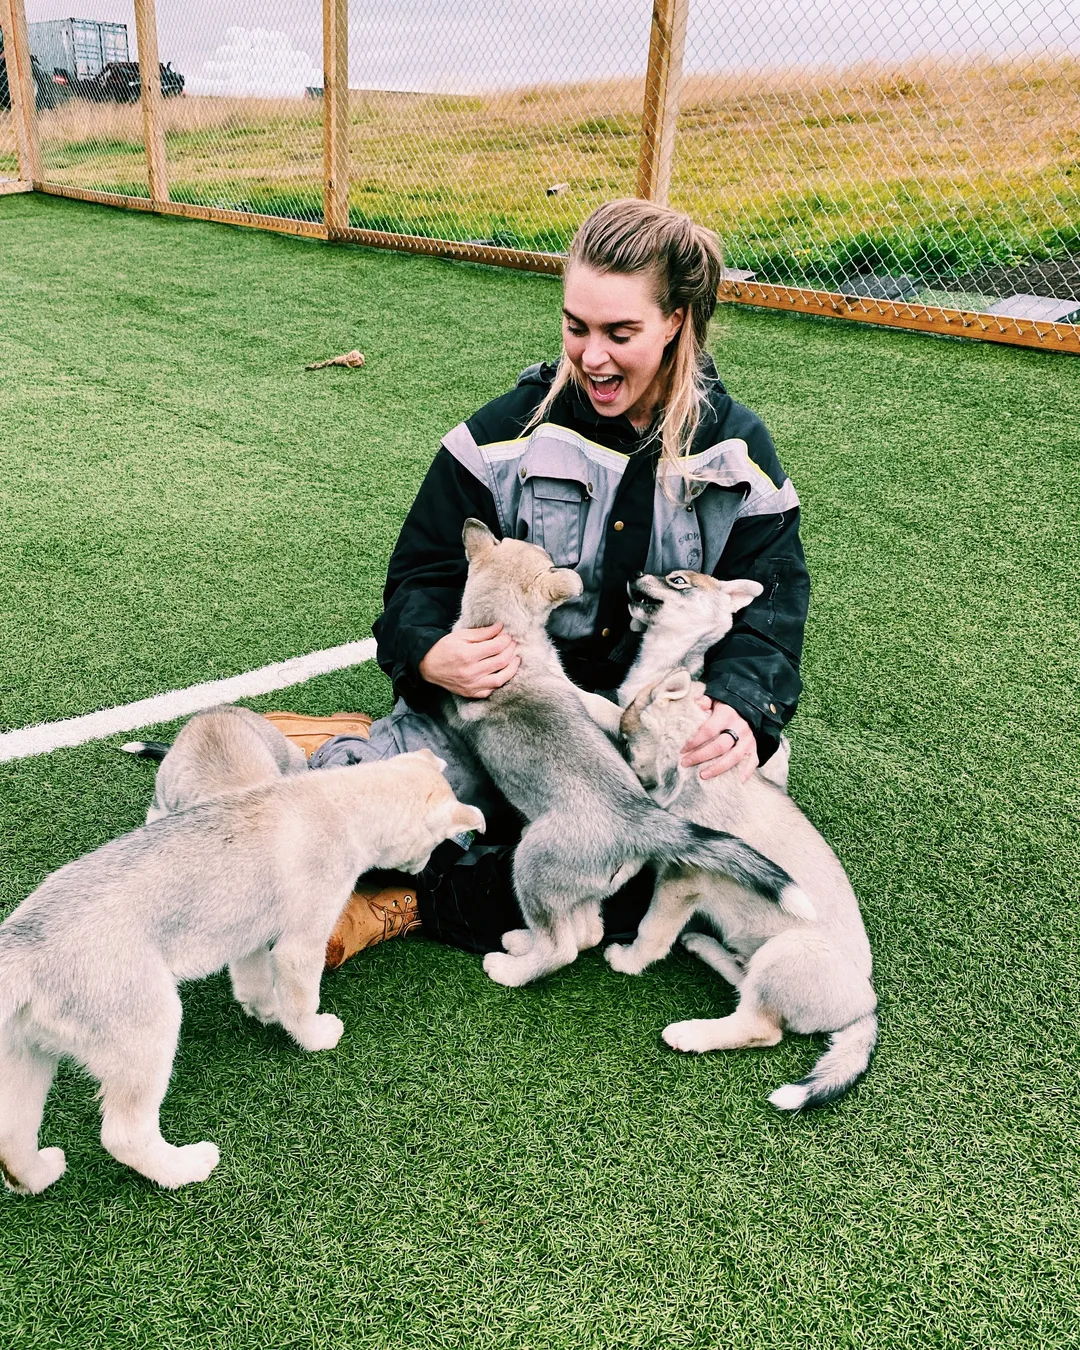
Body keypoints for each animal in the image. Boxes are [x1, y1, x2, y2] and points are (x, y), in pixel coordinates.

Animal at [0, 753, 483, 1194]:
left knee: (12, 1141)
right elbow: (303, 999)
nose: (424, 873)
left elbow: (254, 981)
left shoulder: (249, 934)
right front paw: (313, 1036)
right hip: (148, 1032)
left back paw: (39, 1175)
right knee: (124, 1135)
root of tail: (24, 946)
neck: (342, 803)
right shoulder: (301, 943)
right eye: (436, 844)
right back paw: (185, 1168)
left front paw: (267, 1012)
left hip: (27, 1062)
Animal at [443, 520, 811, 989]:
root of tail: (638, 820)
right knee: (581, 935)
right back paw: (520, 945)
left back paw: (512, 962)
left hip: (530, 869)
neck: (501, 627)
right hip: (568, 884)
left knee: (564, 945)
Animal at [612, 667, 877, 1110]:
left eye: (627, 743)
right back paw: (706, 947)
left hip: (786, 951)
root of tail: (865, 1008)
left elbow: (651, 932)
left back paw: (690, 1033)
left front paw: (629, 961)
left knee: (761, 1028)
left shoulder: (682, 879)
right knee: (744, 983)